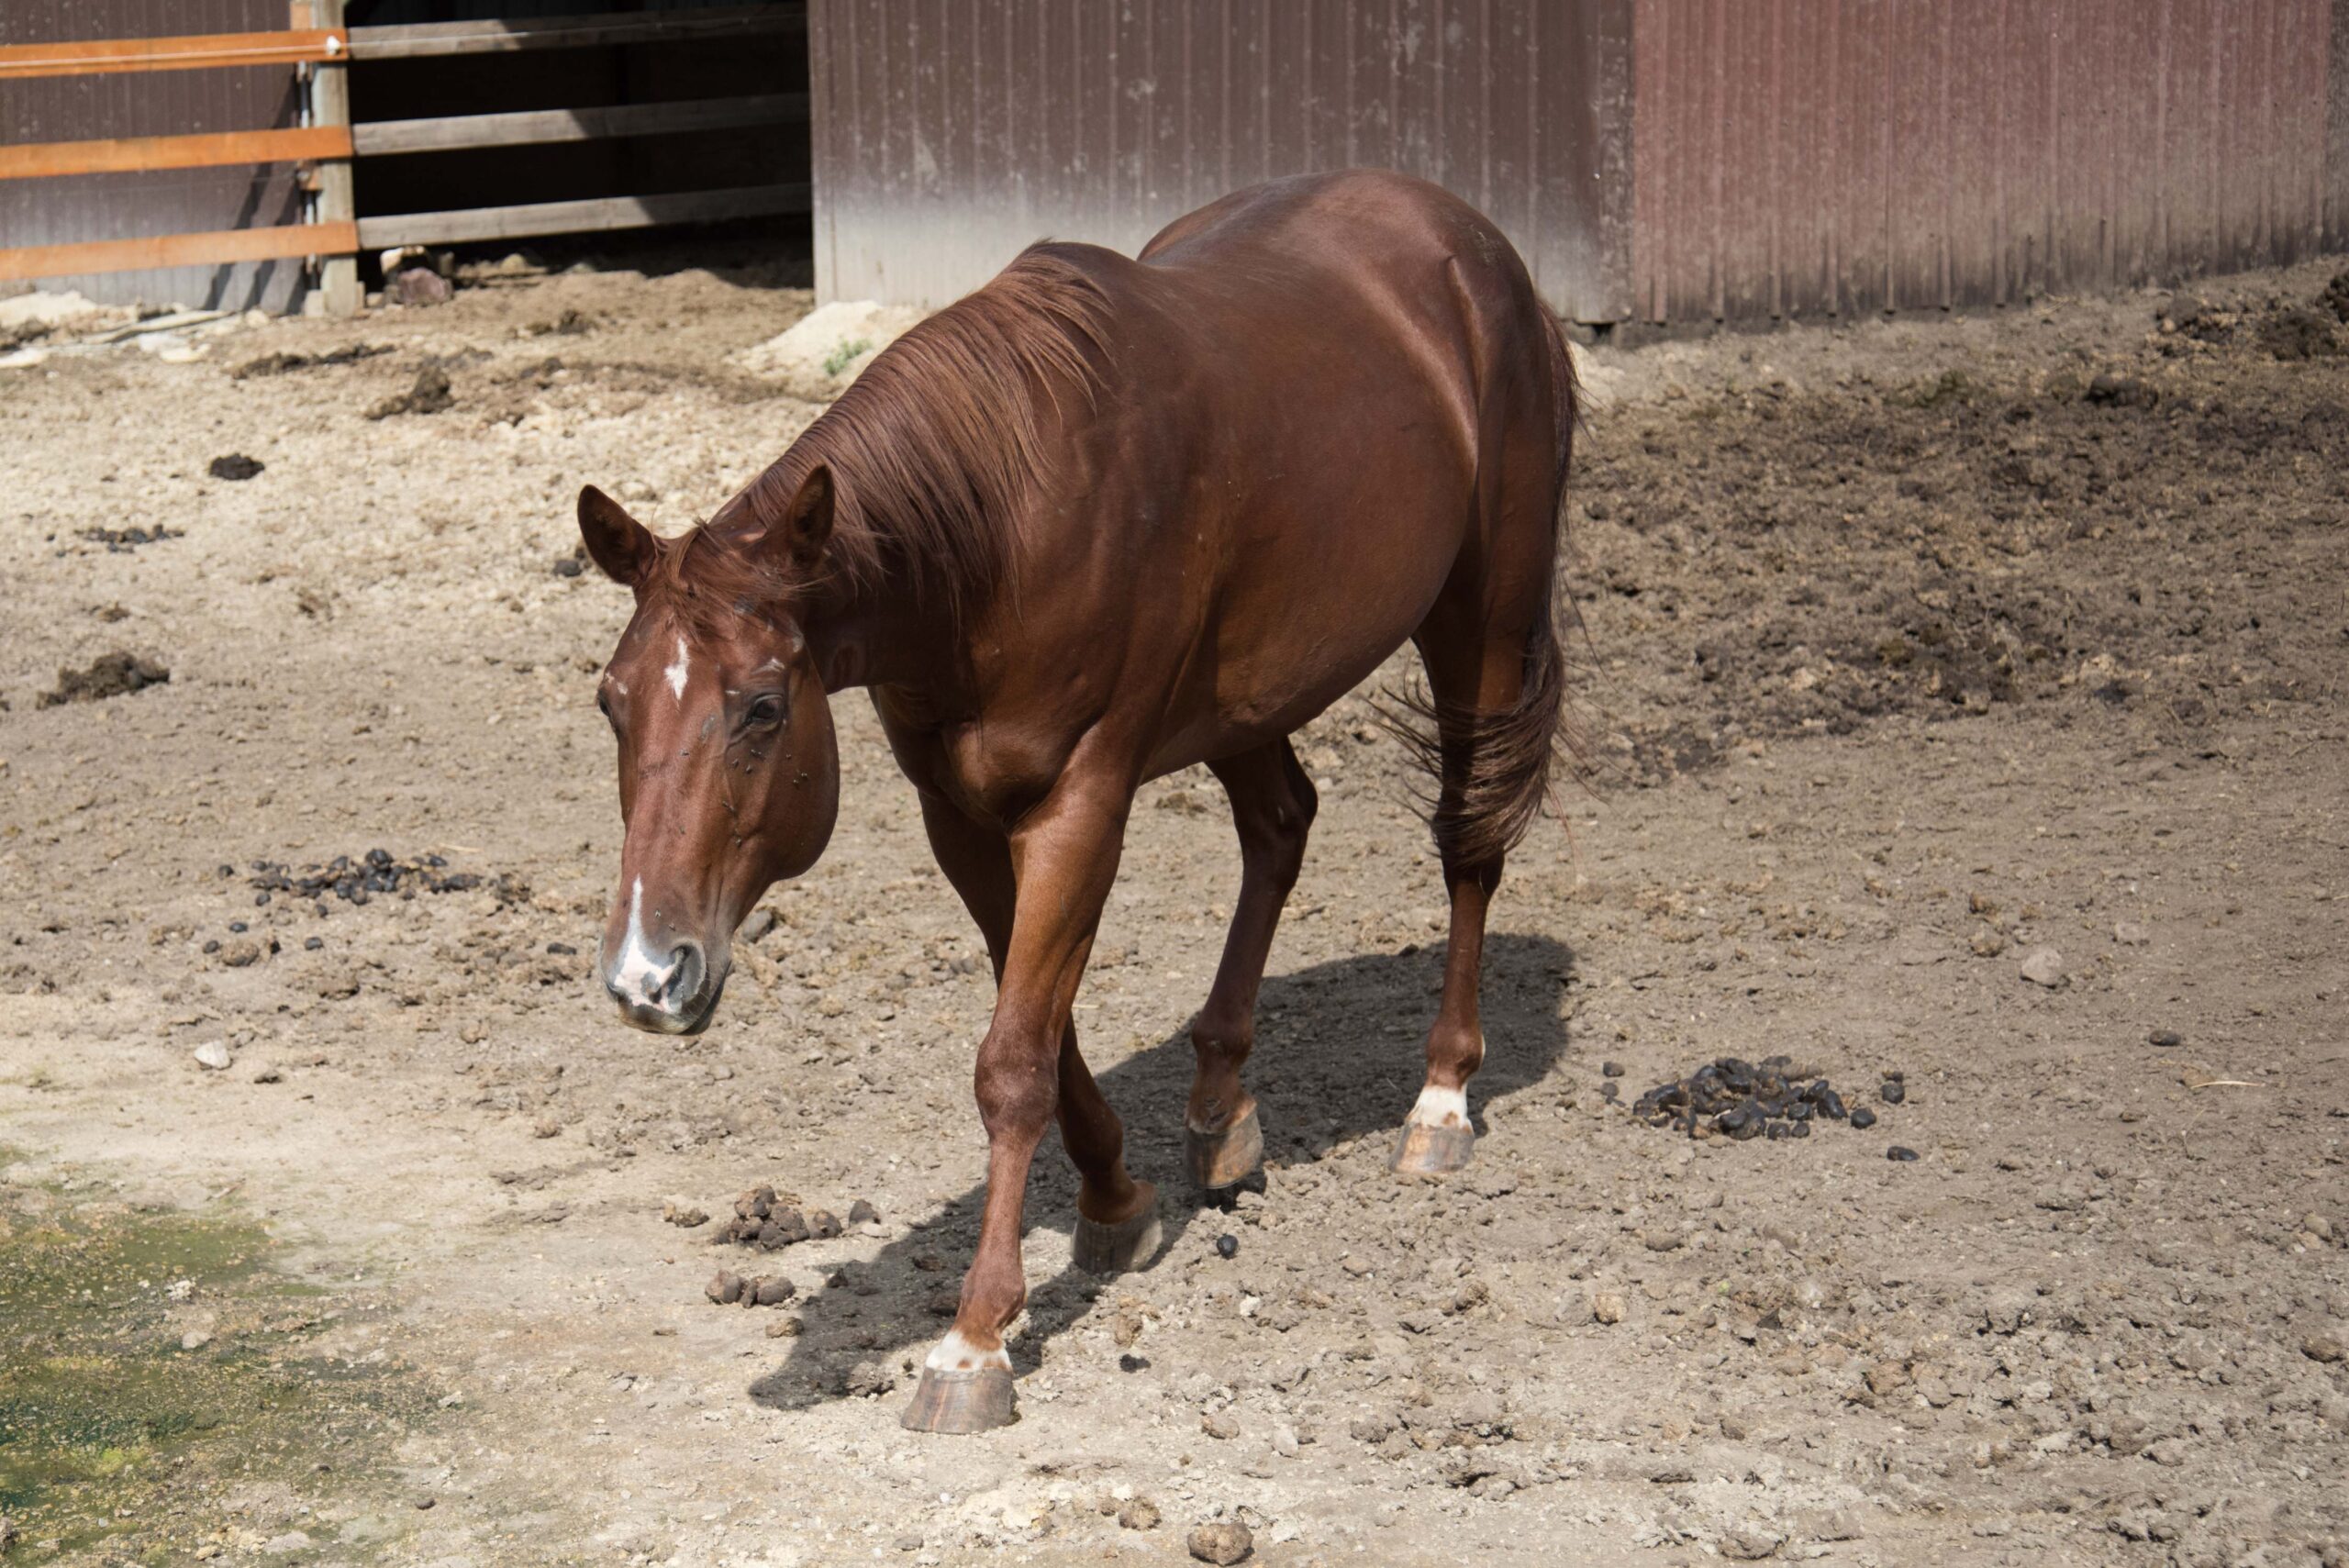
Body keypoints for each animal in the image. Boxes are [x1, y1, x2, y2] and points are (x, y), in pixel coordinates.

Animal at [575, 168, 1578, 1434]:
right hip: (1245, 695)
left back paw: (1440, 1100)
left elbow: (1012, 1059)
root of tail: (1466, 237)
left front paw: (972, 1340)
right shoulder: (957, 813)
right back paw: (1219, 1104)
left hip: (1479, 616)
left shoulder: (1082, 802)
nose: (645, 976)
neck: (997, 528)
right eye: (611, 701)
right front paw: (1114, 1198)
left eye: (760, 707)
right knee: (1281, 823)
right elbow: (1044, 1038)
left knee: (1467, 839)